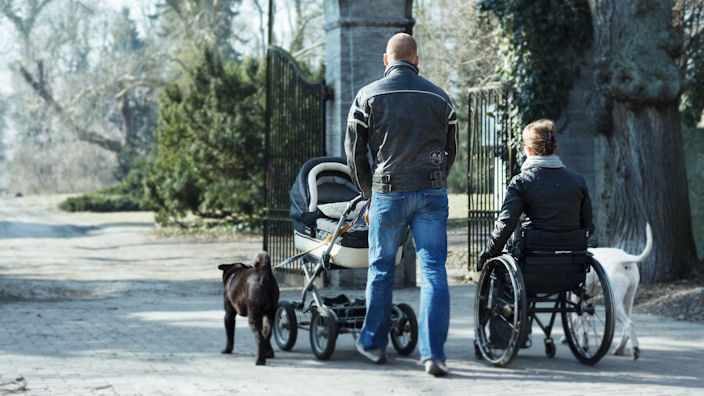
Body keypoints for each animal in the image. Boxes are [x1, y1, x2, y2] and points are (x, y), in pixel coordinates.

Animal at [584, 221, 652, 360]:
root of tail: (624, 259)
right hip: (628, 301)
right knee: (627, 326)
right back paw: (620, 349)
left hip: (615, 304)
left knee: (628, 324)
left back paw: (635, 349)